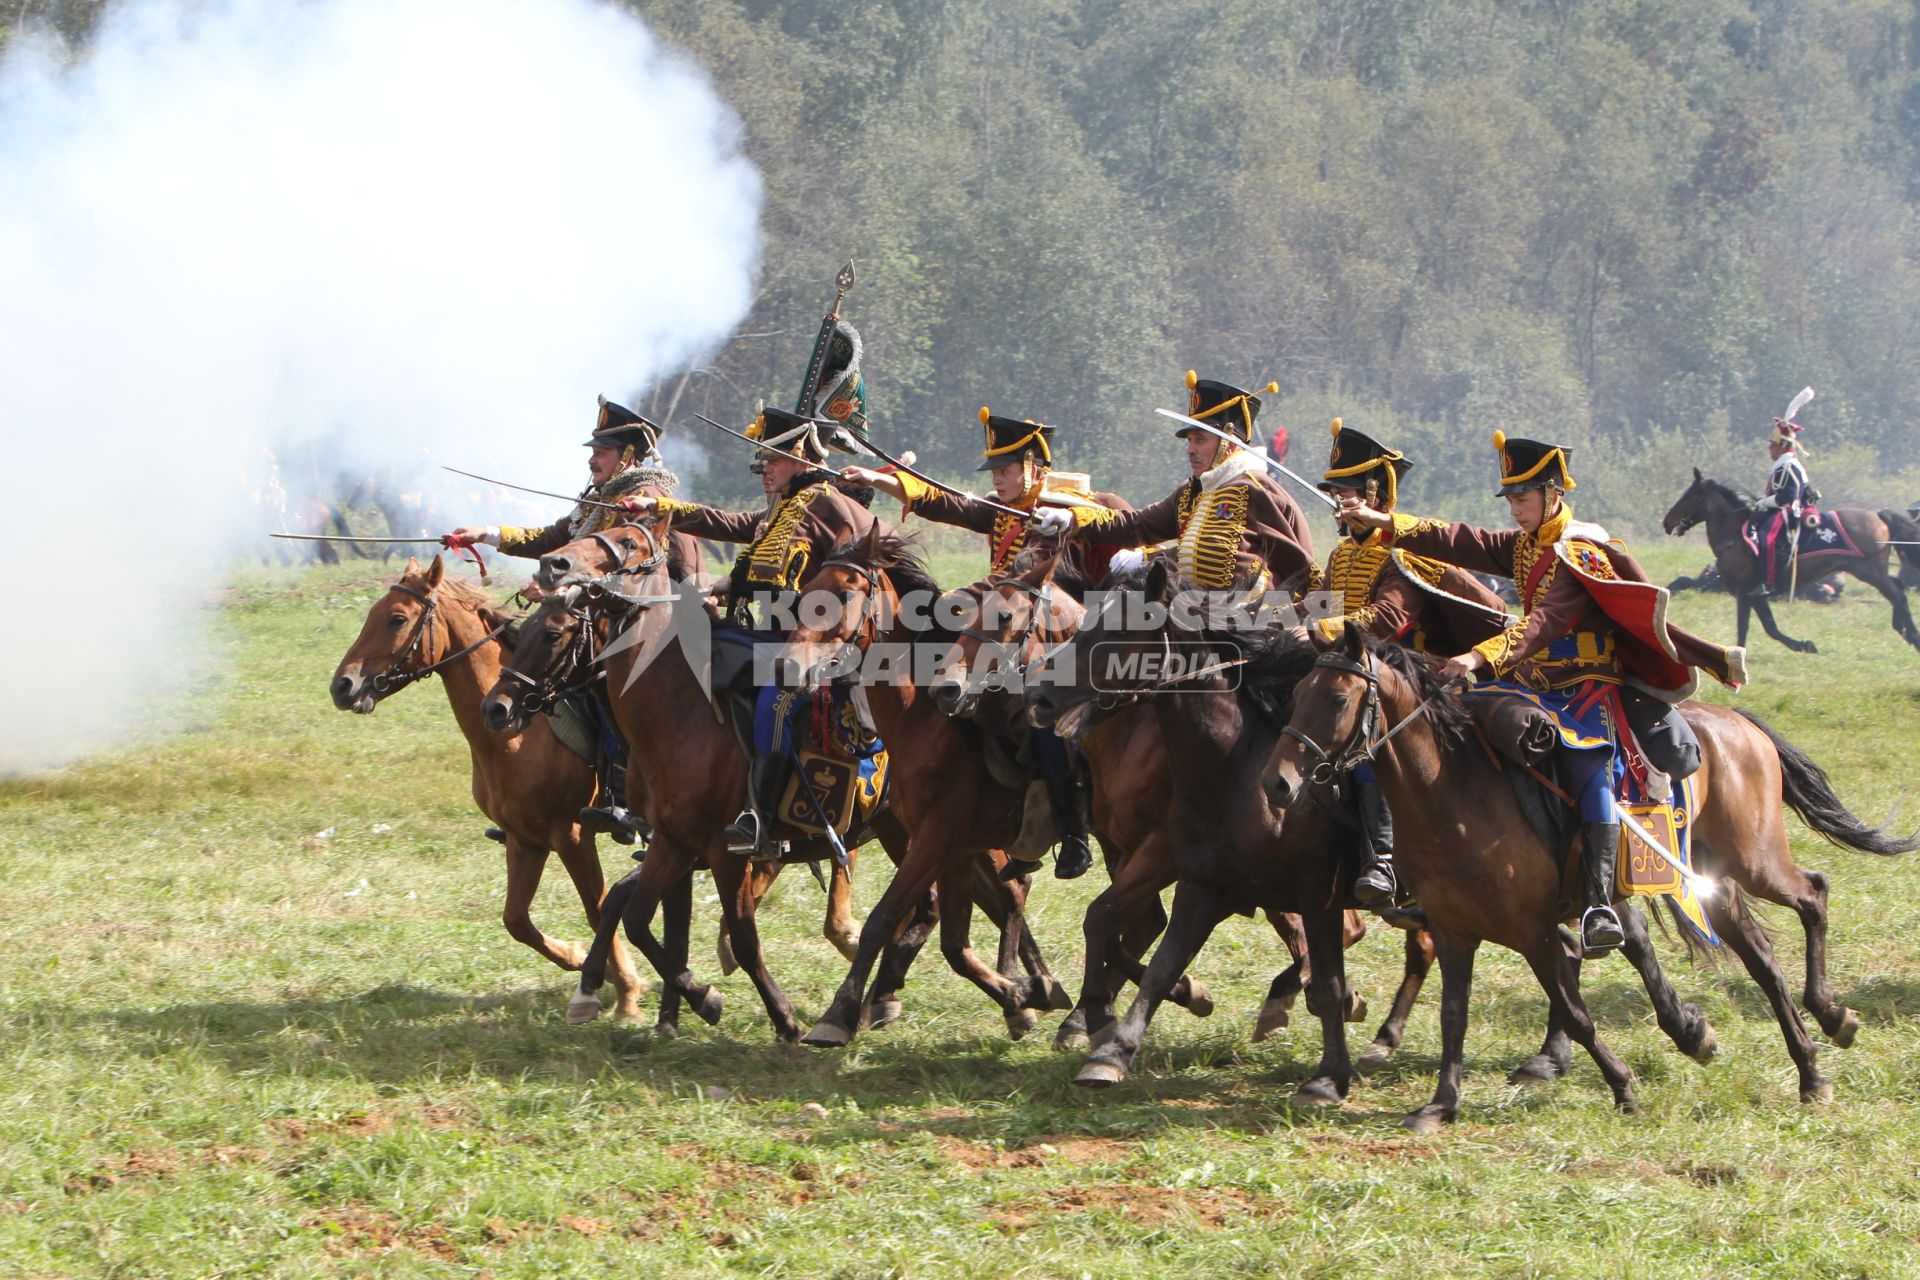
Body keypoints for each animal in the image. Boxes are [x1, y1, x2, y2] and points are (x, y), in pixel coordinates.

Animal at [330, 556, 652, 1028]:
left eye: (397, 619)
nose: (343, 686)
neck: (514, 737)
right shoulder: (525, 841)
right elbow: (516, 920)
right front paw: (581, 961)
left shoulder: (572, 837)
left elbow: (597, 908)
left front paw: (626, 991)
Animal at [1267, 621, 1912, 1128]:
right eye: (1296, 694)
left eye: (1337, 699)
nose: (1278, 783)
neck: (1451, 795)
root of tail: (1738, 723)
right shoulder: (1455, 930)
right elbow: (1455, 1015)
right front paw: (1440, 1105)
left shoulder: (1532, 932)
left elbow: (1575, 1012)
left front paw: (1624, 1087)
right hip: (1713, 881)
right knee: (1762, 960)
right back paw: (1809, 1069)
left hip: (1757, 862)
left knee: (1813, 896)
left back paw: (1830, 1017)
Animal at [1651, 468, 1920, 656]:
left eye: (1689, 496)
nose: (1666, 522)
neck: (1736, 536)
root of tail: (1878, 515)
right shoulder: (1756, 595)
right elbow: (1771, 628)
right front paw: (1805, 645)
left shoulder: (1744, 592)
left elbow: (1744, 627)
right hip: (1874, 571)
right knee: (1898, 590)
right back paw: (1904, 630)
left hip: (1870, 571)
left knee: (1897, 595)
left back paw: (1914, 637)